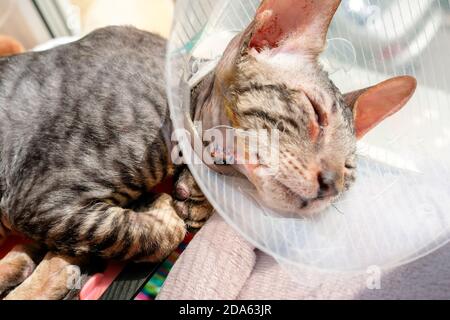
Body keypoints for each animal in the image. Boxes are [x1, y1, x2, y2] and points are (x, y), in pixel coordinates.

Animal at [0, 0, 416, 300]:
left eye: (349, 170)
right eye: (315, 113)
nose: (331, 183)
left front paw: (193, 199)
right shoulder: (44, 198)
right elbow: (156, 232)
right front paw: (164, 208)